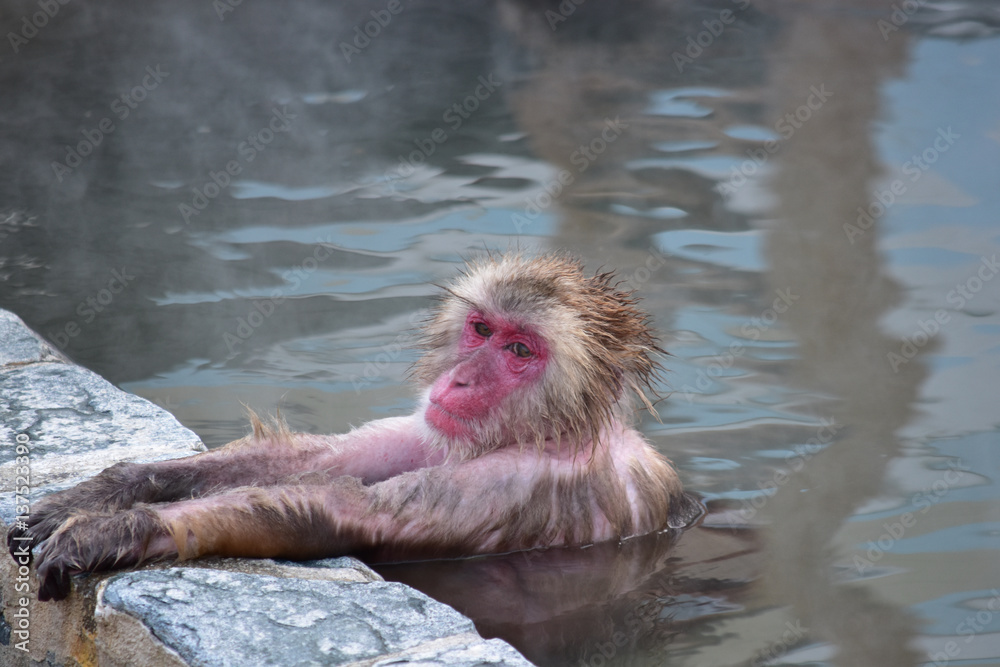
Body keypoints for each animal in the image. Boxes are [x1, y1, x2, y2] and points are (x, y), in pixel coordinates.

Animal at [8, 253, 701, 602]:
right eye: (481, 329)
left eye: (520, 351)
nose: (460, 381)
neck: (555, 430)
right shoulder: (435, 428)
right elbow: (323, 463)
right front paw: (104, 493)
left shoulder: (520, 480)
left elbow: (340, 510)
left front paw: (114, 531)